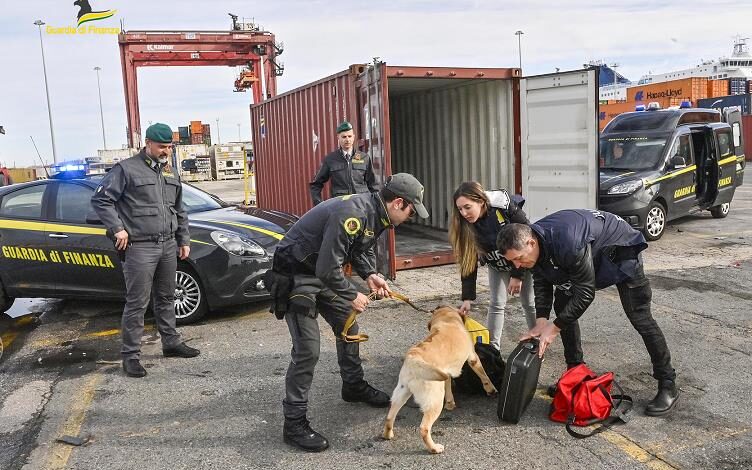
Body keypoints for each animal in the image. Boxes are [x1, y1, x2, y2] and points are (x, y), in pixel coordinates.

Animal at [382, 306, 500, 454]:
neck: (447, 318)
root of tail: (413, 358)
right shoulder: (473, 357)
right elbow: (484, 375)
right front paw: (491, 389)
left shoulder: (446, 372)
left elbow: (448, 386)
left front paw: (450, 403)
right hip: (435, 401)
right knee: (424, 428)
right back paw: (434, 448)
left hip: (401, 394)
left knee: (389, 417)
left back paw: (388, 435)